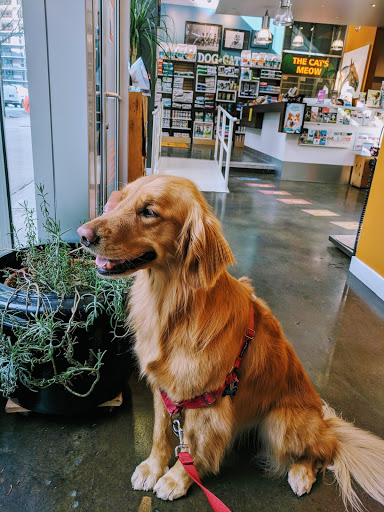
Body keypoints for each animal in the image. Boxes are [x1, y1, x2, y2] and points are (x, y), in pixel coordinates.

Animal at [78, 174, 384, 510]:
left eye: (149, 212)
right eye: (121, 200)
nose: (82, 235)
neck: (175, 306)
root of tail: (324, 421)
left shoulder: (206, 401)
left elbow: (194, 446)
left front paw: (177, 478)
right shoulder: (165, 391)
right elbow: (160, 433)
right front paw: (153, 467)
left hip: (281, 423)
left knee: (323, 451)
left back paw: (301, 473)